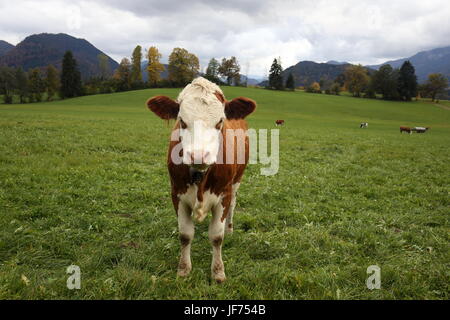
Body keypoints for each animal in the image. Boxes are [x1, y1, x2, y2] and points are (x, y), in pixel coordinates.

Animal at [146, 77, 255, 282]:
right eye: (182, 121)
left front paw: (218, 272)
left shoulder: (224, 194)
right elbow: (185, 235)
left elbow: (217, 236)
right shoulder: (177, 194)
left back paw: (230, 228)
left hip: (237, 181)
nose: (198, 156)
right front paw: (183, 269)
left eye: (220, 121)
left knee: (233, 206)